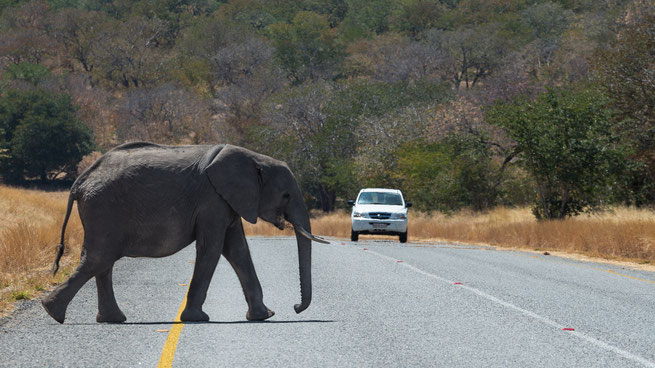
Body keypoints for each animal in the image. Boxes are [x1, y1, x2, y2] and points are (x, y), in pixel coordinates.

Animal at [41, 142, 328, 324]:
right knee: (99, 258)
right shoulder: (212, 200)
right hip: (103, 208)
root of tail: (80, 181)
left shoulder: (227, 202)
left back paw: (110, 319)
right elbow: (212, 248)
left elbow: (237, 250)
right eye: (286, 195)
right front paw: (197, 319)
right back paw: (53, 312)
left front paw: (265, 316)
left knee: (102, 261)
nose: (296, 307)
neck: (253, 158)